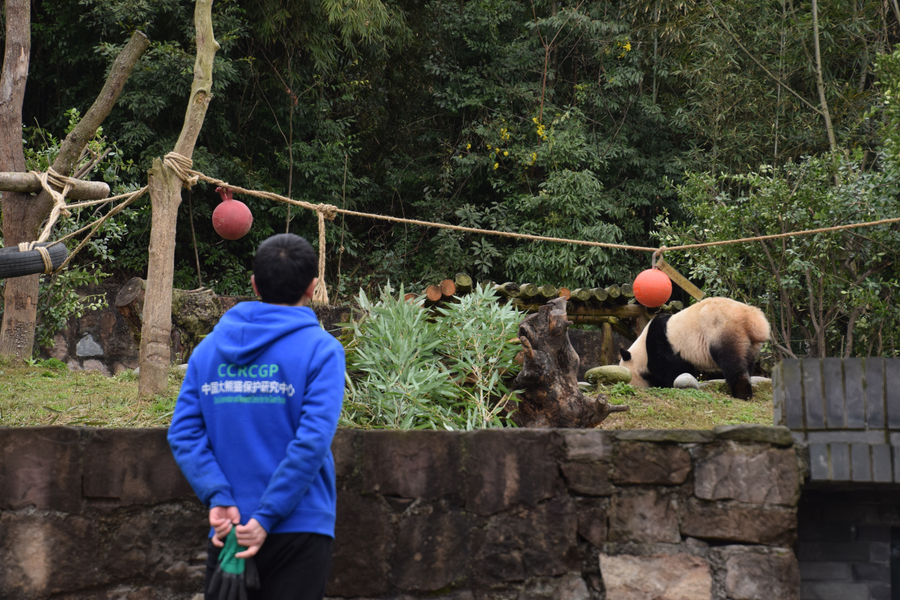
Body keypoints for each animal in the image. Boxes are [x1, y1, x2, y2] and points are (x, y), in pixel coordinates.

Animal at [620, 298, 772, 400]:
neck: (642, 351)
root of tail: (751, 318)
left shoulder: (662, 347)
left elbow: (671, 371)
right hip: (750, 344)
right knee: (747, 362)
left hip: (724, 330)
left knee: (732, 362)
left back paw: (741, 394)